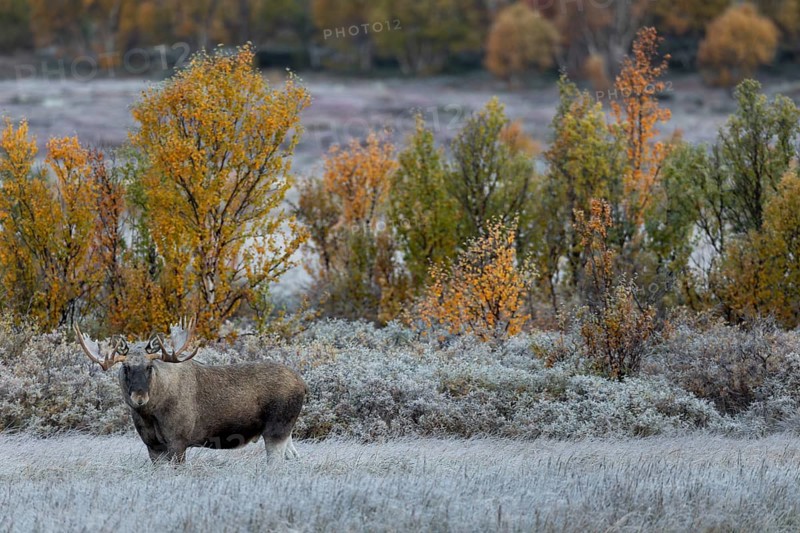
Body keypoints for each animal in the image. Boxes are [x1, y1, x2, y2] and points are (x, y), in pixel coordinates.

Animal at [74, 318, 307, 464]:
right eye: (126, 367)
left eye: (149, 367)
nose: (139, 397)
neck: (151, 413)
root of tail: (303, 384)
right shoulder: (153, 445)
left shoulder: (178, 441)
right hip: (285, 432)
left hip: (277, 428)